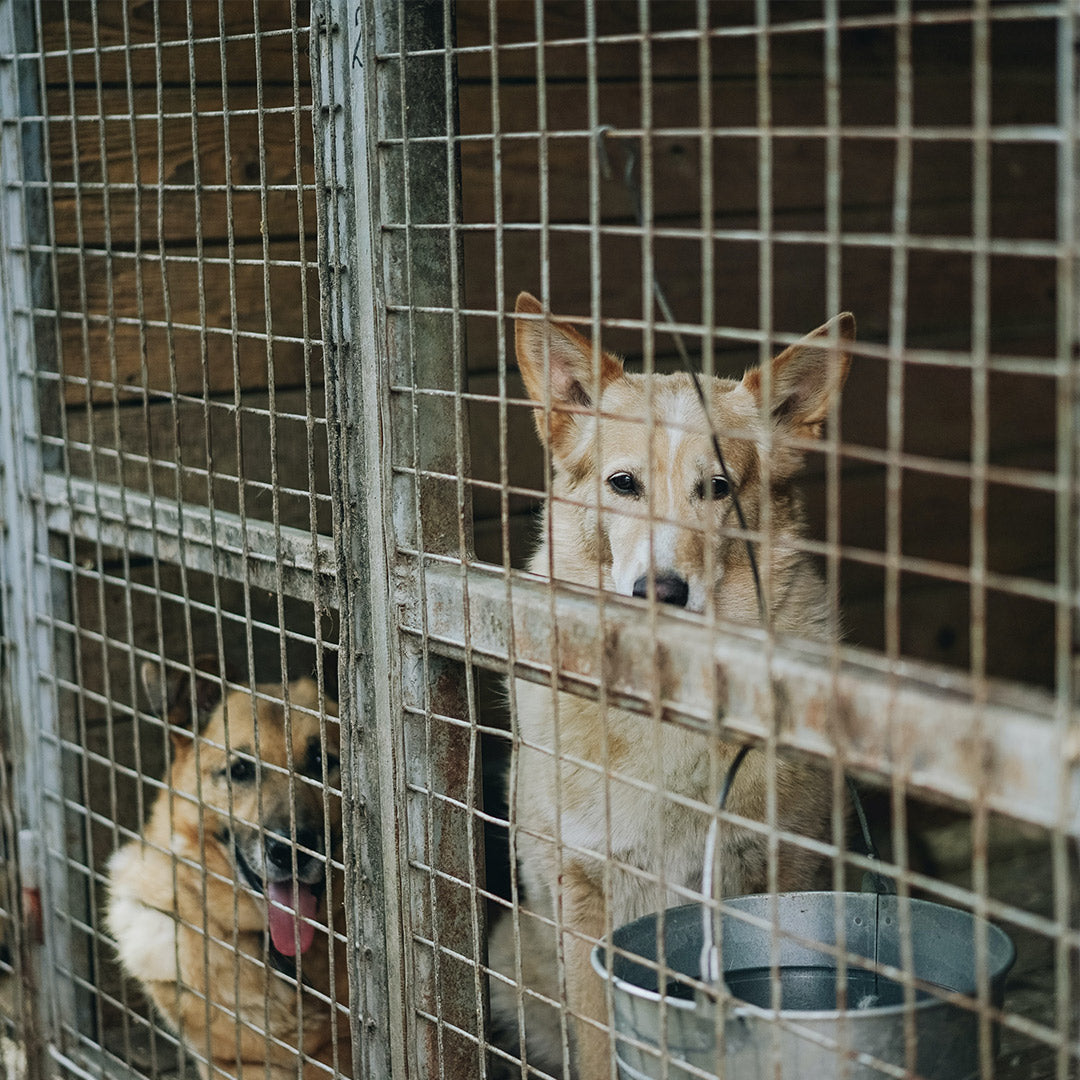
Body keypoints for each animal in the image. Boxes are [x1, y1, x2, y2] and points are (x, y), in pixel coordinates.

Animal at [490, 289, 851, 1080]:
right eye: (623, 484)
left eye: (717, 489)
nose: (660, 590)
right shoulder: (579, 893)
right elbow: (597, 1046)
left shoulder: (786, 872)